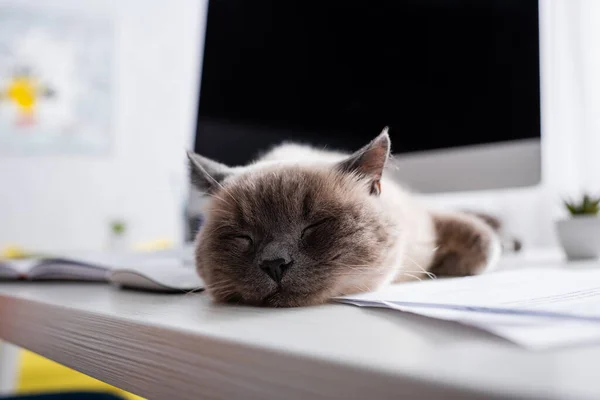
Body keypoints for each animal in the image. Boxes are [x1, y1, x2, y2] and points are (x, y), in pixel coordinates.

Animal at [188, 128, 502, 306]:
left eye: (314, 226)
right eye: (243, 237)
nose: (274, 264)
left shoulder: (427, 224)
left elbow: (483, 245)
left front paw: (448, 267)